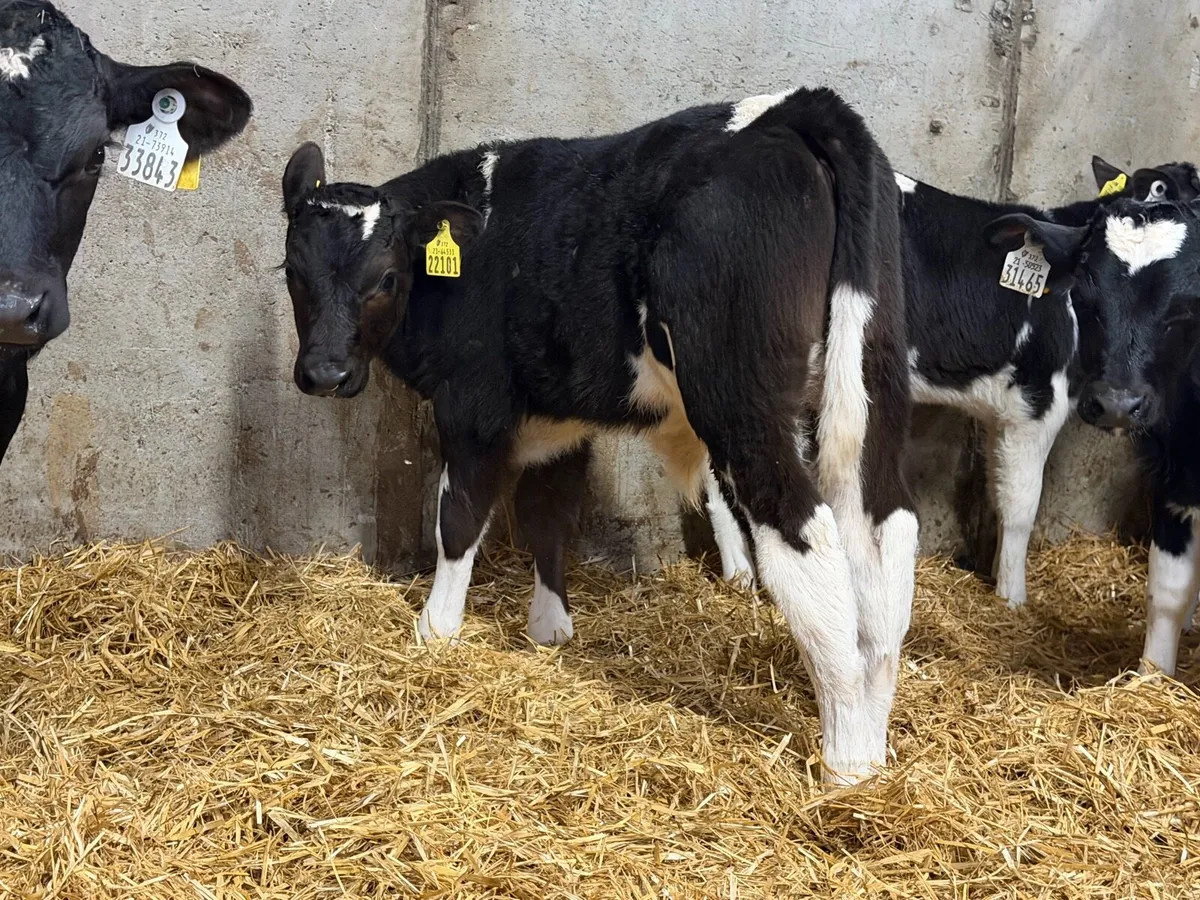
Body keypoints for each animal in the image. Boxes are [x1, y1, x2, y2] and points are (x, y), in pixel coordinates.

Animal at [281, 87, 919, 784]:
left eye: (386, 279)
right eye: (292, 271)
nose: (325, 374)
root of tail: (792, 106)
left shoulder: (472, 405)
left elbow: (460, 518)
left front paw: (436, 632)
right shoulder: (556, 420)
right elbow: (548, 514)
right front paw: (549, 628)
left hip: (746, 404)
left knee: (807, 537)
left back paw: (845, 761)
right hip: (873, 382)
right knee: (885, 534)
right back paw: (874, 742)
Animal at [706, 155, 1200, 609]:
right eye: (1091, 279)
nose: (1118, 404)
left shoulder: (1003, 409)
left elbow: (998, 493)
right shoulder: (1040, 400)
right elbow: (1021, 508)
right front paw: (1012, 599)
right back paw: (746, 574)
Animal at [985, 197, 1200, 677]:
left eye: (1188, 308)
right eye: (1083, 297)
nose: (1117, 404)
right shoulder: (1173, 479)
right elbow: (1167, 593)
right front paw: (1151, 677)